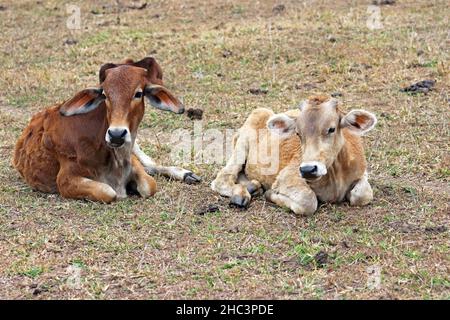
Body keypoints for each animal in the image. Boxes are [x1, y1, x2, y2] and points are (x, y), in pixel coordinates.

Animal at [12, 57, 193, 202]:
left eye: (138, 93)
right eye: (105, 94)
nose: (116, 134)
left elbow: (149, 185)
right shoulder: (65, 179)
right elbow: (108, 192)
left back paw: (186, 174)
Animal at [211, 95, 376, 215]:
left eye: (331, 129)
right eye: (298, 133)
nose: (308, 169)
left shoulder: (363, 172)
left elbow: (364, 194)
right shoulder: (287, 177)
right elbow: (308, 201)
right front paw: (270, 194)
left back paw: (253, 187)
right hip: (245, 136)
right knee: (222, 179)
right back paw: (242, 195)